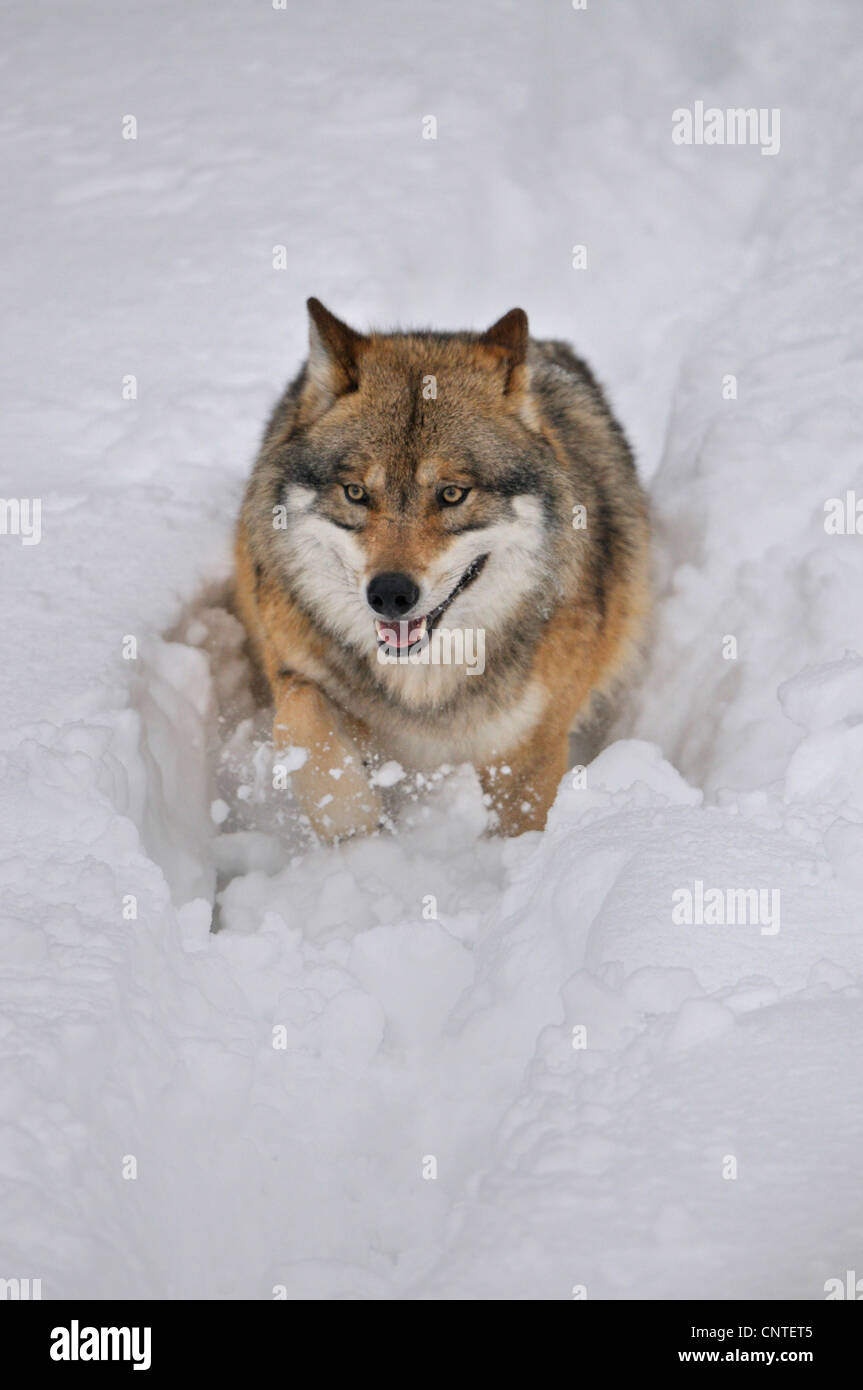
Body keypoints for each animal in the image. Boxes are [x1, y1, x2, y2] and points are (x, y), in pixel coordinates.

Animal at [235, 299, 649, 839]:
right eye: (356, 492)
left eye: (452, 494)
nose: (390, 594)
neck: (424, 686)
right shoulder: (294, 669)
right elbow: (303, 717)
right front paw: (358, 833)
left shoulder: (528, 750)